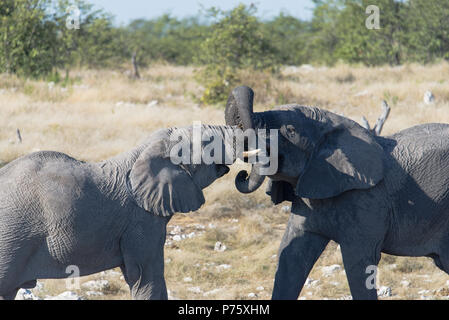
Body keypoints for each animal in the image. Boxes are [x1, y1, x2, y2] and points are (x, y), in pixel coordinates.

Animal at [226, 85, 448, 300]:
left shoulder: (368, 200)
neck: (332, 126)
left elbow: (358, 262)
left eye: (290, 131)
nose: (241, 174)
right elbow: (291, 255)